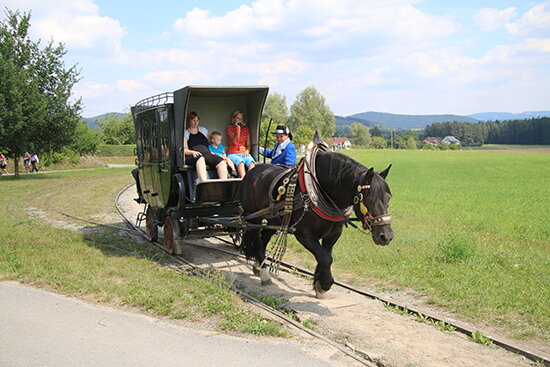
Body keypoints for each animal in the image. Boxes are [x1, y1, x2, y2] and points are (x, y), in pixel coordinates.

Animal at [239, 144, 394, 300]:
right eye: (369, 198)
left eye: (388, 198)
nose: (386, 236)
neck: (321, 192)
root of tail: (253, 171)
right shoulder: (303, 233)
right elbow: (325, 257)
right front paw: (325, 284)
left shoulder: (333, 234)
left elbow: (326, 255)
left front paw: (319, 283)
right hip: (253, 217)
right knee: (257, 240)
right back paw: (264, 273)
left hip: (273, 219)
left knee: (264, 238)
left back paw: (258, 266)